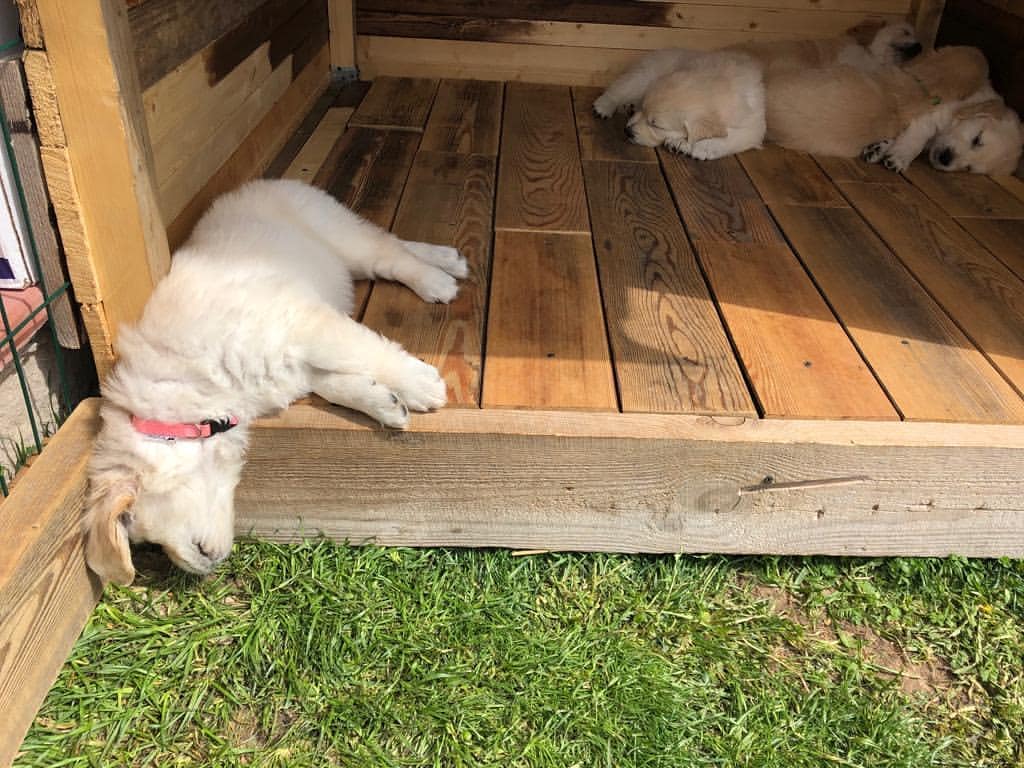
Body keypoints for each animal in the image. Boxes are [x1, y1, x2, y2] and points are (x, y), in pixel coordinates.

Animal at [88, 180, 464, 585]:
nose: (201, 567)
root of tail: (264, 183)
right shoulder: (294, 365)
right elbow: (334, 384)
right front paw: (385, 403)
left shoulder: (306, 324)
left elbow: (362, 350)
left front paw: (420, 383)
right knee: (392, 241)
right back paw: (449, 258)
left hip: (338, 233)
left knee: (388, 254)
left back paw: (435, 280)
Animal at [618, 49, 765, 160]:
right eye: (643, 109)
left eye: (656, 126)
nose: (626, 131)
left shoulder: (755, 125)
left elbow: (734, 136)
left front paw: (702, 146)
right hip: (642, 78)